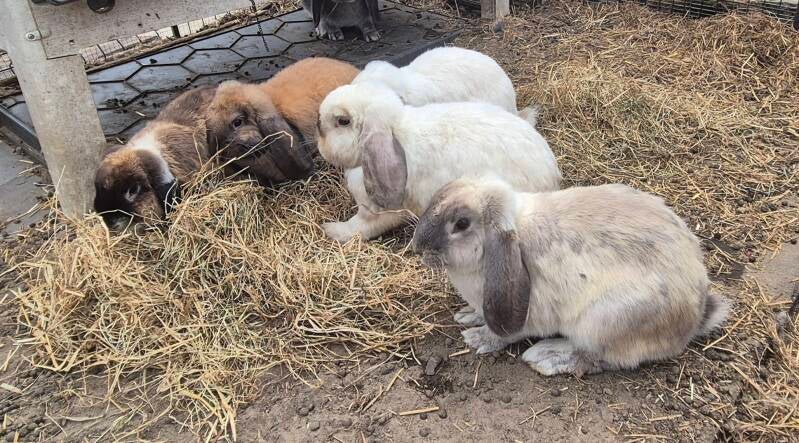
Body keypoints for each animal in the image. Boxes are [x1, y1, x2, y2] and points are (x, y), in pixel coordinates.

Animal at [316, 82, 561, 243]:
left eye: (343, 121)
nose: (317, 125)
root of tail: (552, 179)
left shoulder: (376, 211)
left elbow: (360, 227)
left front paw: (331, 229)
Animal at [411, 177, 730, 377]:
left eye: (461, 223)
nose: (417, 245)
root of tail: (694, 317)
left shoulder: (527, 313)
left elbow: (507, 333)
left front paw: (477, 338)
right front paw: (468, 316)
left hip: (604, 320)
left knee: (602, 358)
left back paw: (547, 357)